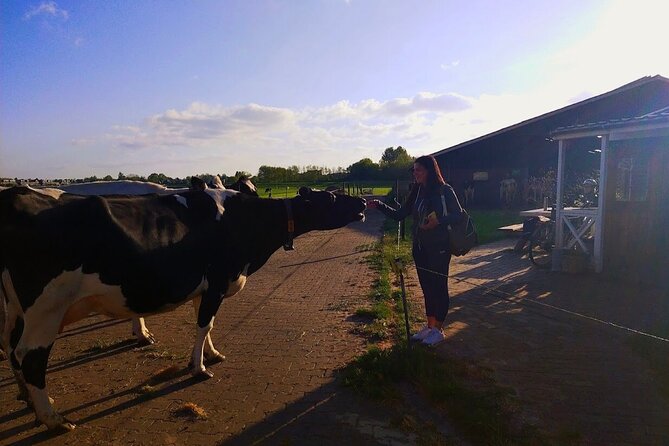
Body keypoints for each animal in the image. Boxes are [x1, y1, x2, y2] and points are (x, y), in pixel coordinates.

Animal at [0, 185, 366, 431]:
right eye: (332, 198)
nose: (363, 202)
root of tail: (16, 195)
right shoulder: (217, 281)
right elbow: (204, 324)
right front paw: (199, 368)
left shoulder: (205, 288)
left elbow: (207, 324)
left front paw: (213, 354)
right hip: (46, 309)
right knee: (30, 355)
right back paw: (53, 418)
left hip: (15, 307)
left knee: (10, 348)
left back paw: (28, 401)